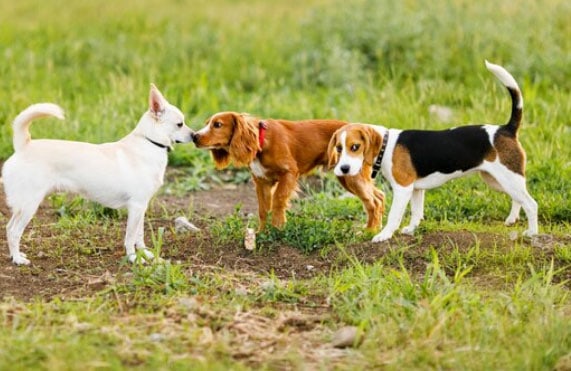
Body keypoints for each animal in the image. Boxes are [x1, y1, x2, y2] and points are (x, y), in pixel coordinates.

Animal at [1, 85, 194, 264]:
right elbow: (130, 237)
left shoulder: (141, 207)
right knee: (14, 231)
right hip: (29, 205)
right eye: (180, 124)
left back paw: (15, 255)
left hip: (23, 206)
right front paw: (133, 258)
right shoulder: (136, 207)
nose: (194, 135)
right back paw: (17, 259)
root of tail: (23, 146)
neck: (149, 142)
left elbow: (139, 235)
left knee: (9, 227)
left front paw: (146, 255)